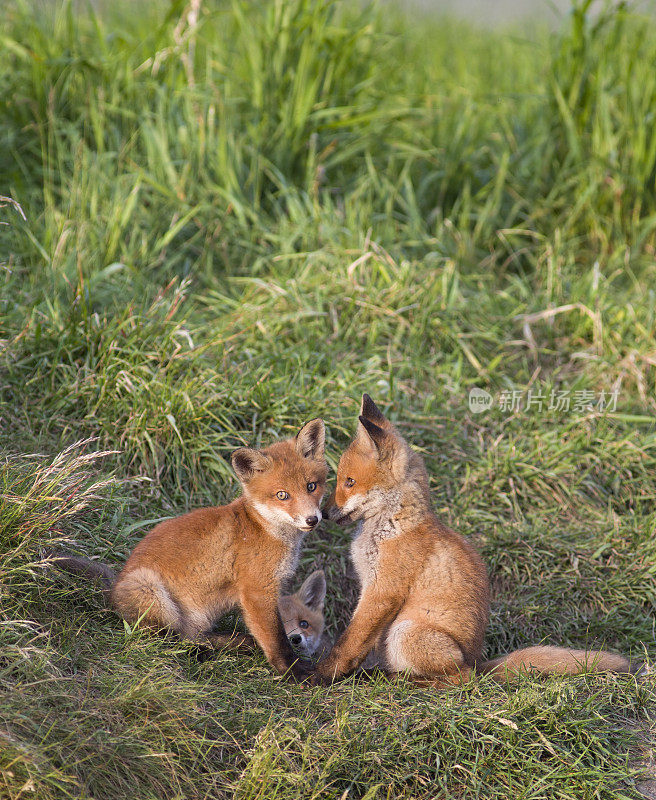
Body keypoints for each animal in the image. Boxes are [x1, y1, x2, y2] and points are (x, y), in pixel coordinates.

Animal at [51, 416, 328, 680]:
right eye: (282, 495)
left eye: (311, 486)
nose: (312, 520)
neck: (264, 527)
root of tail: (113, 590)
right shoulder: (257, 591)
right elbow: (276, 641)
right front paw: (293, 672)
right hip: (151, 590)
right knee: (165, 639)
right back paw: (202, 651)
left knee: (192, 635)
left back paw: (232, 643)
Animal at [316, 396, 640, 684]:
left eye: (349, 482)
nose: (323, 513)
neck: (391, 524)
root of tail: (478, 662)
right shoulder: (369, 587)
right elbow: (357, 641)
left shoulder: (383, 591)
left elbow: (350, 642)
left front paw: (323, 674)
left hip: (405, 632)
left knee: (460, 679)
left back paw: (398, 680)